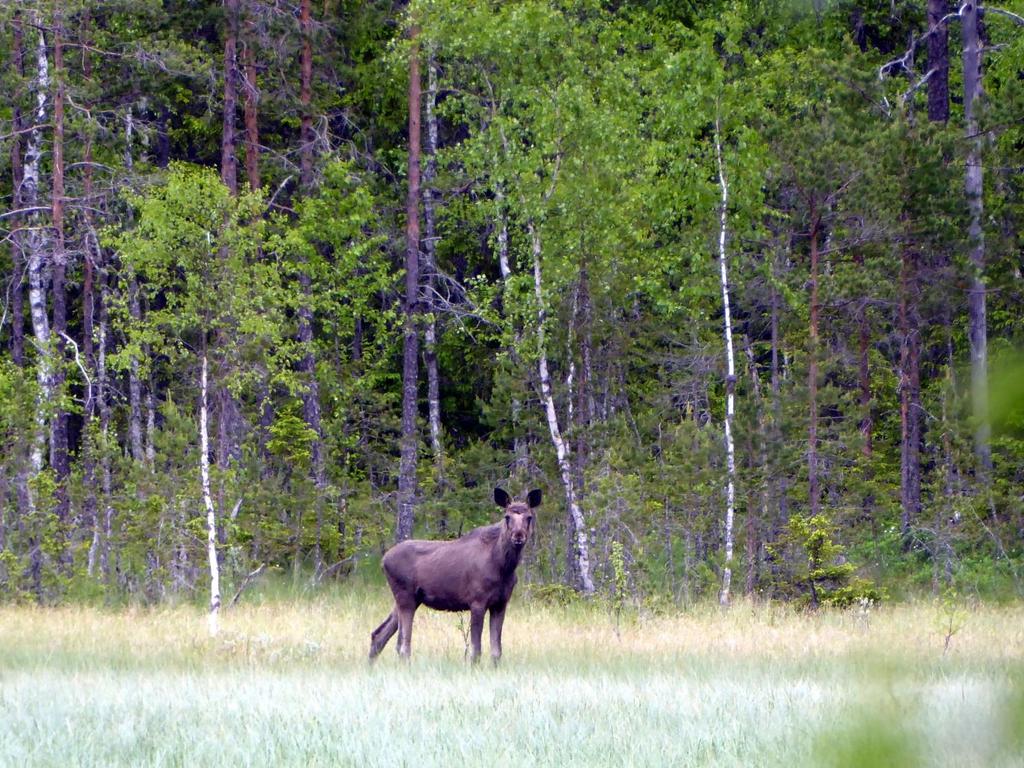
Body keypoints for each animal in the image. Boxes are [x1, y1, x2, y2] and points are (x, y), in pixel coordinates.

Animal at [370, 489, 544, 663]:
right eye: (507, 517)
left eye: (529, 517)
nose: (518, 536)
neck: (504, 567)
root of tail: (383, 561)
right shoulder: (477, 601)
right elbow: (476, 651)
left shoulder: (500, 603)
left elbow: (496, 652)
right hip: (405, 597)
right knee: (403, 647)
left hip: (410, 599)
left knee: (379, 635)